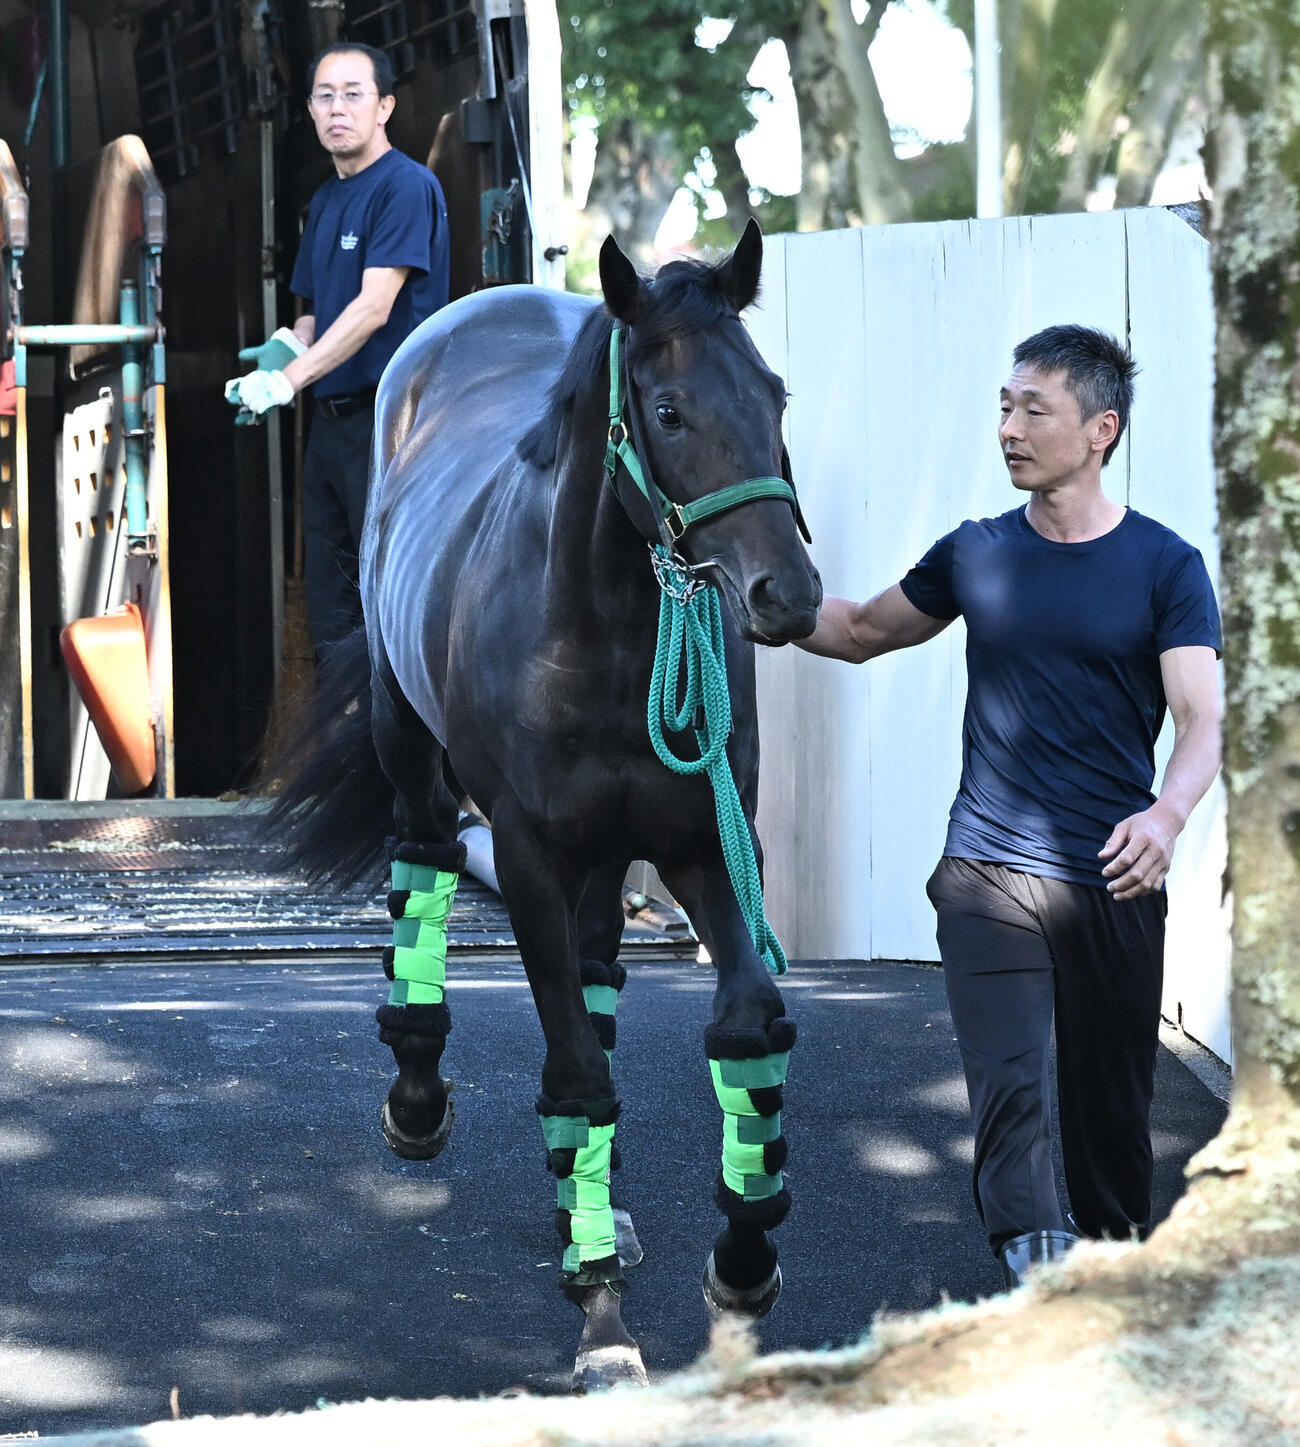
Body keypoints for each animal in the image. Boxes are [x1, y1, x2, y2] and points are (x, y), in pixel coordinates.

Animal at [269, 220, 823, 1390]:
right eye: (670, 411)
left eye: (773, 395)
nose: (787, 594)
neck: (603, 632)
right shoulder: (523, 852)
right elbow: (573, 1073)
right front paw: (601, 1315)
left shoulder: (709, 842)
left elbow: (744, 1026)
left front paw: (740, 1257)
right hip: (407, 744)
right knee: (424, 865)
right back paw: (419, 1098)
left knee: (602, 961)